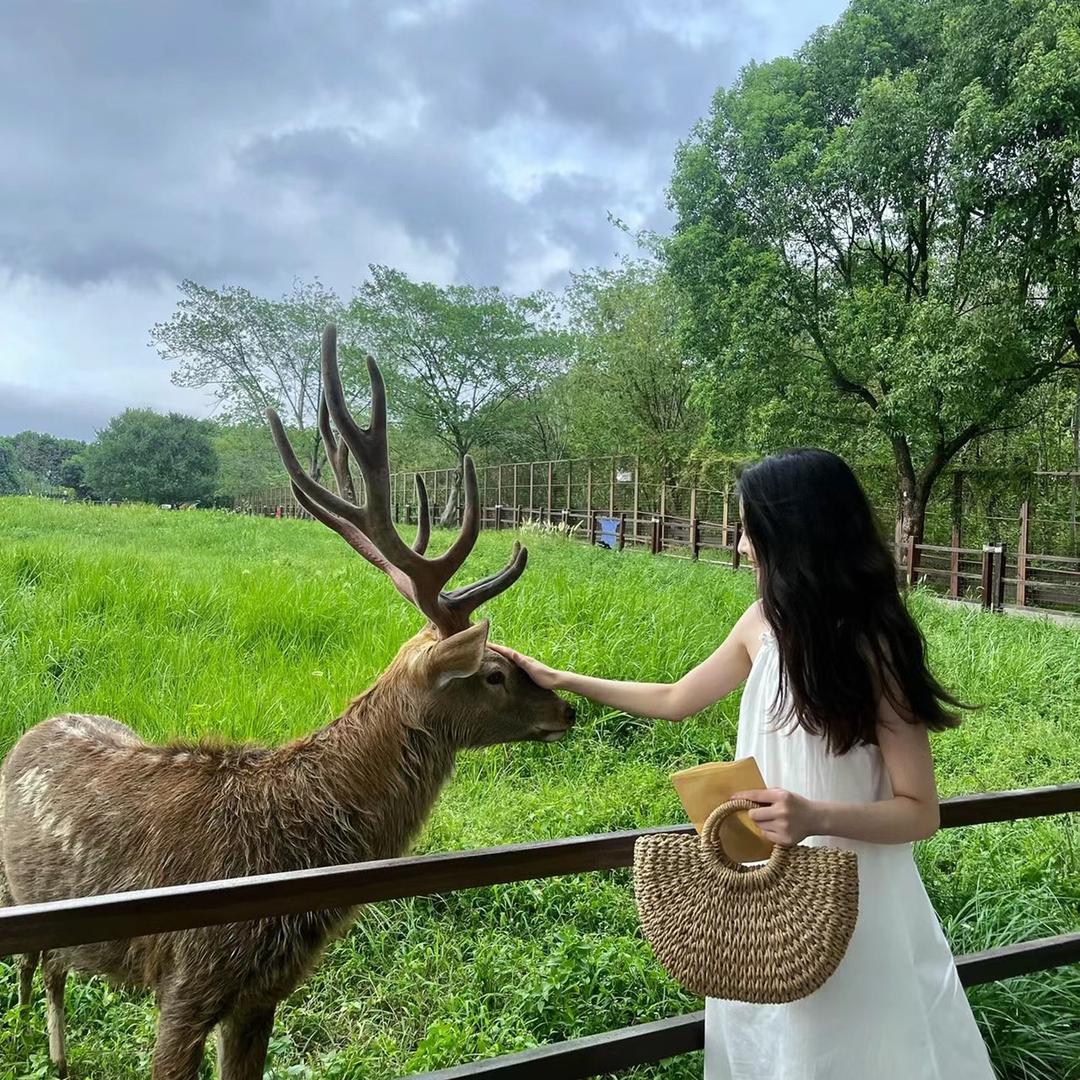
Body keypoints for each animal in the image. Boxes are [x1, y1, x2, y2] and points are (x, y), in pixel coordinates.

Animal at [0, 324, 575, 1080]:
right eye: (495, 673)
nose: (569, 709)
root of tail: (30, 731)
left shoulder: (261, 993)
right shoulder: (187, 978)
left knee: (56, 968)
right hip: (13, 894)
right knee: (30, 966)